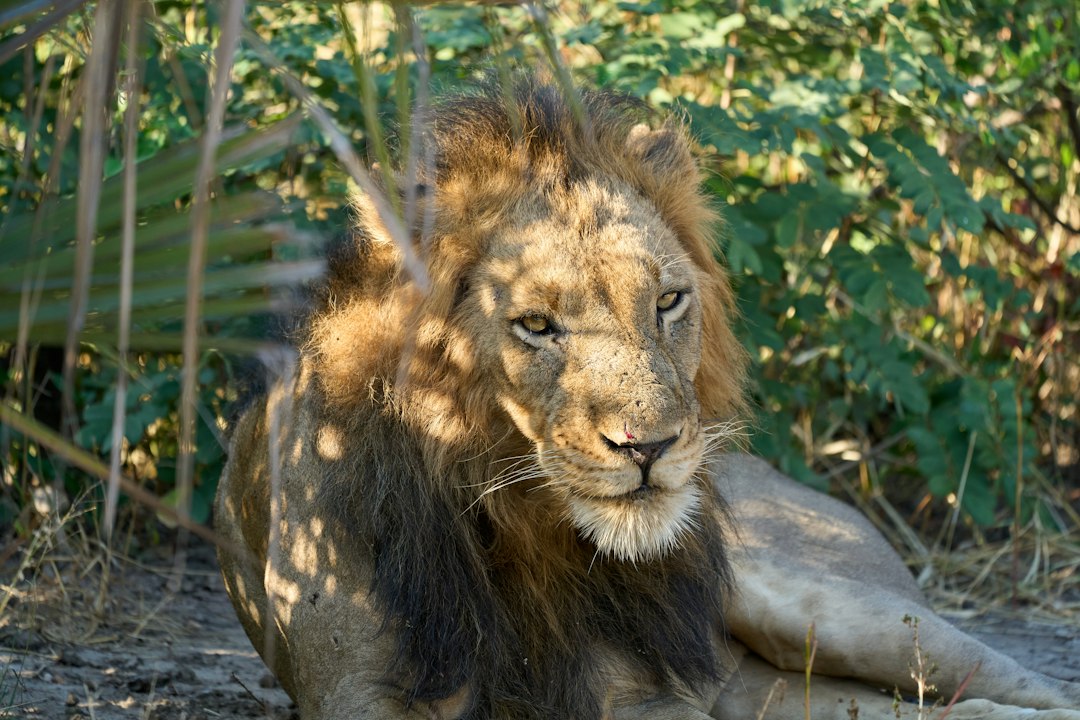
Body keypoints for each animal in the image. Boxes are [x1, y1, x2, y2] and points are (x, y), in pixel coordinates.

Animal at [215, 77, 1080, 719]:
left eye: (666, 302)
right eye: (535, 324)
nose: (652, 448)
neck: (509, 513)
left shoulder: (645, 696)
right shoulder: (365, 691)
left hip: (839, 609)